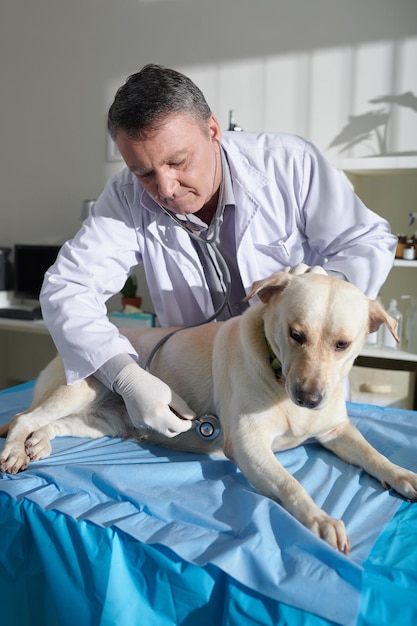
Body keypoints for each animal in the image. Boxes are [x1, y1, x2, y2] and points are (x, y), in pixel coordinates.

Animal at [0, 270, 416, 552]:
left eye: (343, 344)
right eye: (296, 335)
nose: (310, 398)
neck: (280, 379)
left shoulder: (337, 431)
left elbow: (373, 455)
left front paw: (402, 475)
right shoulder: (248, 445)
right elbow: (291, 484)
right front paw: (321, 519)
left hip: (104, 423)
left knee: (52, 425)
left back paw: (39, 444)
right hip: (84, 387)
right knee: (24, 418)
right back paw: (17, 450)